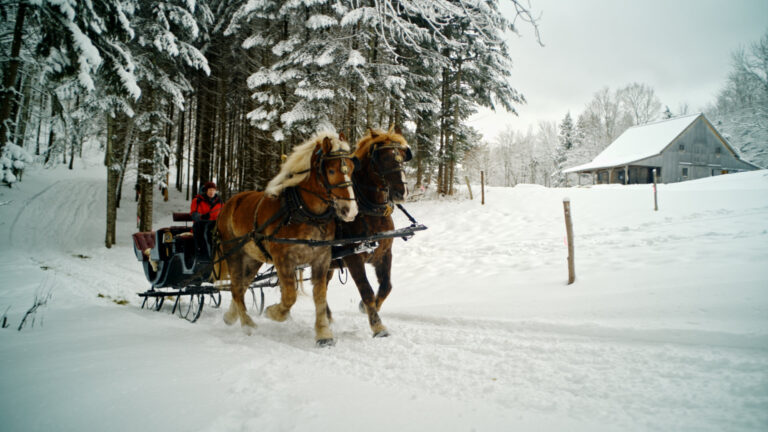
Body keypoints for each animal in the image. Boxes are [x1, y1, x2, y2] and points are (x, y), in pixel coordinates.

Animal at [215, 132, 358, 347]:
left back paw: (231, 316)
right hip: (233, 252)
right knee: (236, 287)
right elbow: (290, 295)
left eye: (351, 168)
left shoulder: (321, 259)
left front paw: (323, 334)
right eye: (331, 170)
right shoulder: (283, 259)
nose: (350, 210)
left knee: (242, 285)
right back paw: (247, 324)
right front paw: (273, 312)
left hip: (252, 258)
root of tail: (231, 202)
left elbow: (320, 296)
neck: (304, 213)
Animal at [330, 128, 412, 338]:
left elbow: (386, 286)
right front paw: (377, 326)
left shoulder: (384, 253)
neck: (370, 211)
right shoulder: (353, 257)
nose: (402, 193)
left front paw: (367, 307)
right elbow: (366, 289)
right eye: (384, 158)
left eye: (402, 157)